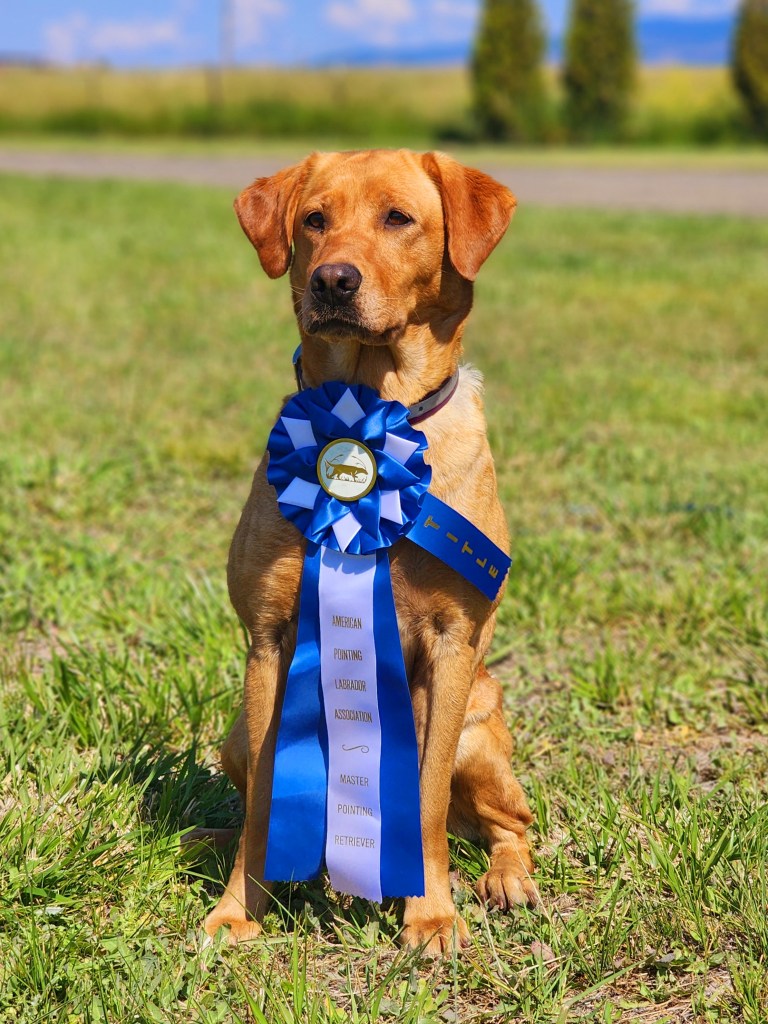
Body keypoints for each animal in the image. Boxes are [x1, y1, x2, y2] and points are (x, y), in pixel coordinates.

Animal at [202, 149, 537, 954]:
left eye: (398, 218)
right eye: (313, 219)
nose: (333, 280)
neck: (367, 413)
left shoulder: (452, 644)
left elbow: (425, 800)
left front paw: (431, 915)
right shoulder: (270, 640)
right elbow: (265, 804)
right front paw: (238, 909)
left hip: (481, 731)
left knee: (513, 822)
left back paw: (506, 878)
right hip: (231, 735)